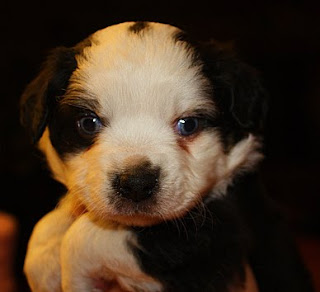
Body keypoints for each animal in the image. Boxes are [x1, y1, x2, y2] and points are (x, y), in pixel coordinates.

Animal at [20, 21, 312, 290]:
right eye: (89, 123)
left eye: (188, 124)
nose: (136, 183)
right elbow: (47, 226)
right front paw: (44, 258)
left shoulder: (215, 238)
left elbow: (85, 238)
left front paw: (68, 269)